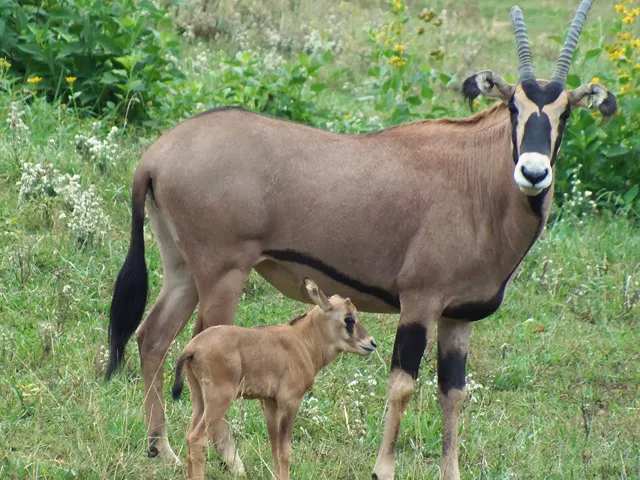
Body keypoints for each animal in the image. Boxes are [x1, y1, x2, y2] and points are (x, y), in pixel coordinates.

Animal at [172, 280, 378, 478]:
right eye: (349, 318)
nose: (371, 343)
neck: (301, 339)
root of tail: (192, 348)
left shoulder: (270, 403)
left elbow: (275, 449)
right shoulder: (290, 402)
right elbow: (285, 452)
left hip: (199, 398)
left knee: (189, 437)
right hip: (219, 400)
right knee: (197, 440)